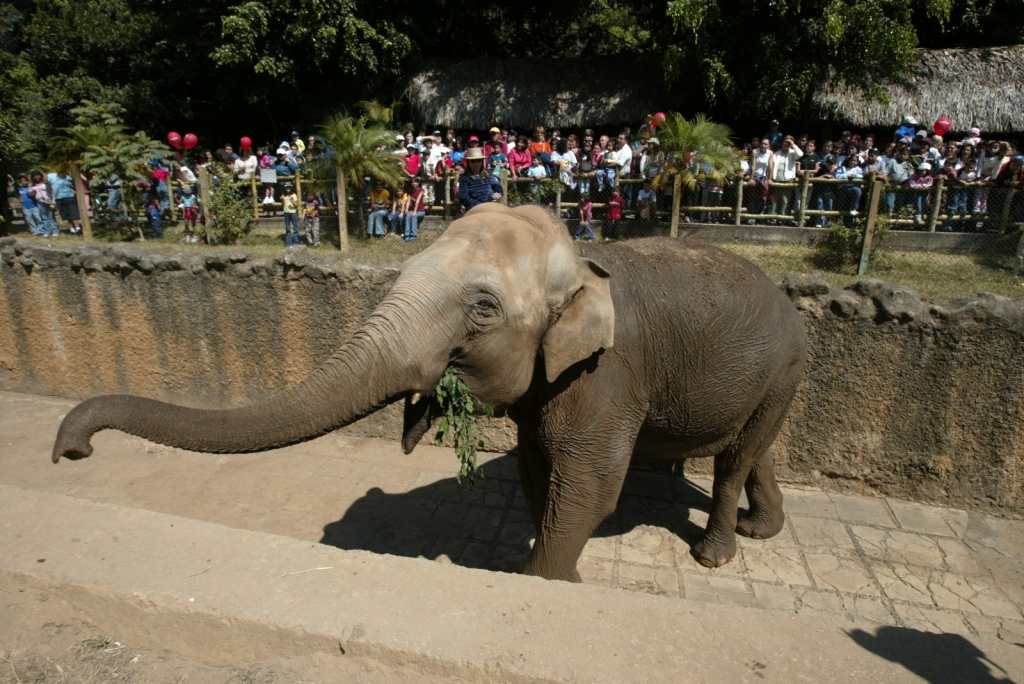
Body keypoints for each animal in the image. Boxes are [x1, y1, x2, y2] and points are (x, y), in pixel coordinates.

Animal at [54, 201, 806, 577]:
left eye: (482, 307)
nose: (71, 452)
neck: (576, 255)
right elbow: (538, 473)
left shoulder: (605, 374)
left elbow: (588, 486)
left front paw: (549, 582)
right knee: (754, 450)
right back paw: (761, 528)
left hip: (784, 368)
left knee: (736, 458)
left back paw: (716, 554)